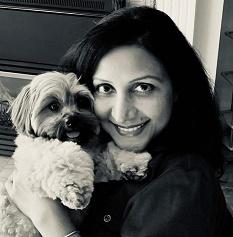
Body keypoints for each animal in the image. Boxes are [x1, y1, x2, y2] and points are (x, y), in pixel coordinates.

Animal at [0, 71, 151, 236]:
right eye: (53, 106)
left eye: (82, 102)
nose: (72, 119)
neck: (81, 145)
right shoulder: (35, 164)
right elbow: (63, 158)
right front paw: (74, 188)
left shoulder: (98, 165)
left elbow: (108, 153)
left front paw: (132, 163)